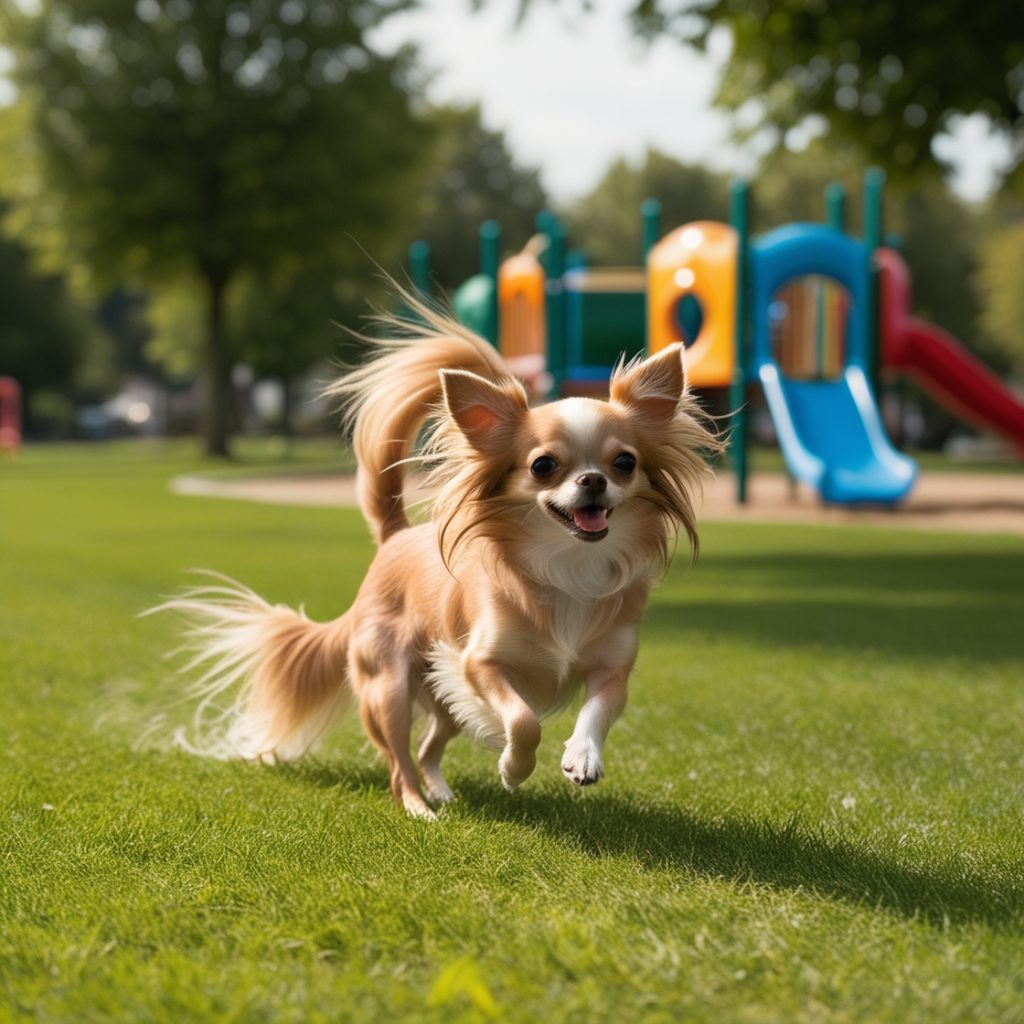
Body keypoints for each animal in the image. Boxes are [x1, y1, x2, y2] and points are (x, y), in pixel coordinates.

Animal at [159, 299, 720, 819]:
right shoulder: (479, 664)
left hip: (442, 697)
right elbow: (523, 721)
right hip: (389, 690)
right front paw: (513, 768)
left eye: (624, 463)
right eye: (543, 466)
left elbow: (596, 712)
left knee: (429, 747)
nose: (593, 480)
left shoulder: (611, 671)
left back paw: (443, 792)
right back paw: (418, 807)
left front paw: (582, 757)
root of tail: (394, 538)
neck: (568, 565)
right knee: (399, 762)